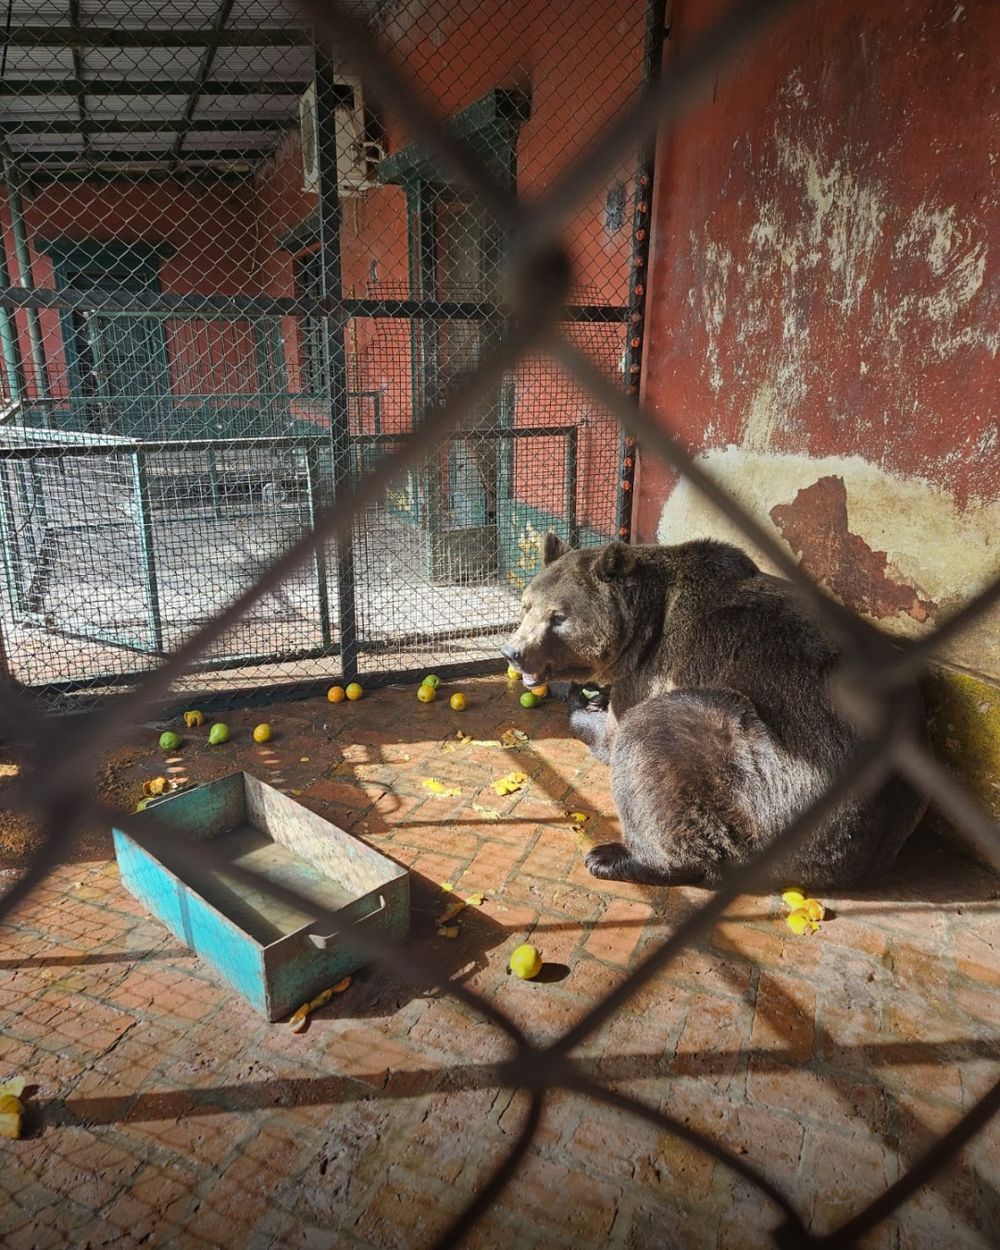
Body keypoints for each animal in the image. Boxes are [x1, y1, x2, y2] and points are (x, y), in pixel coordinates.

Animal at [501, 533, 927, 889]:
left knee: (655, 737)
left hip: (771, 778)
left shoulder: (652, 670)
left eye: (558, 616)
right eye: (525, 606)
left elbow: (615, 734)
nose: (513, 651)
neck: (641, 628)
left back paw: (616, 857)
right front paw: (587, 695)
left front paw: (582, 704)